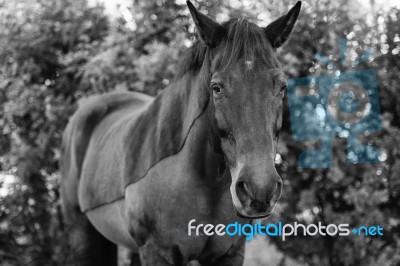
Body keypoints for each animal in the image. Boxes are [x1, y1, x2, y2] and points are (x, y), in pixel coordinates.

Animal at [61, 1, 302, 264]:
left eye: (282, 86)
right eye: (216, 87)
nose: (259, 189)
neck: (206, 184)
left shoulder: (231, 253)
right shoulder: (157, 252)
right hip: (82, 232)